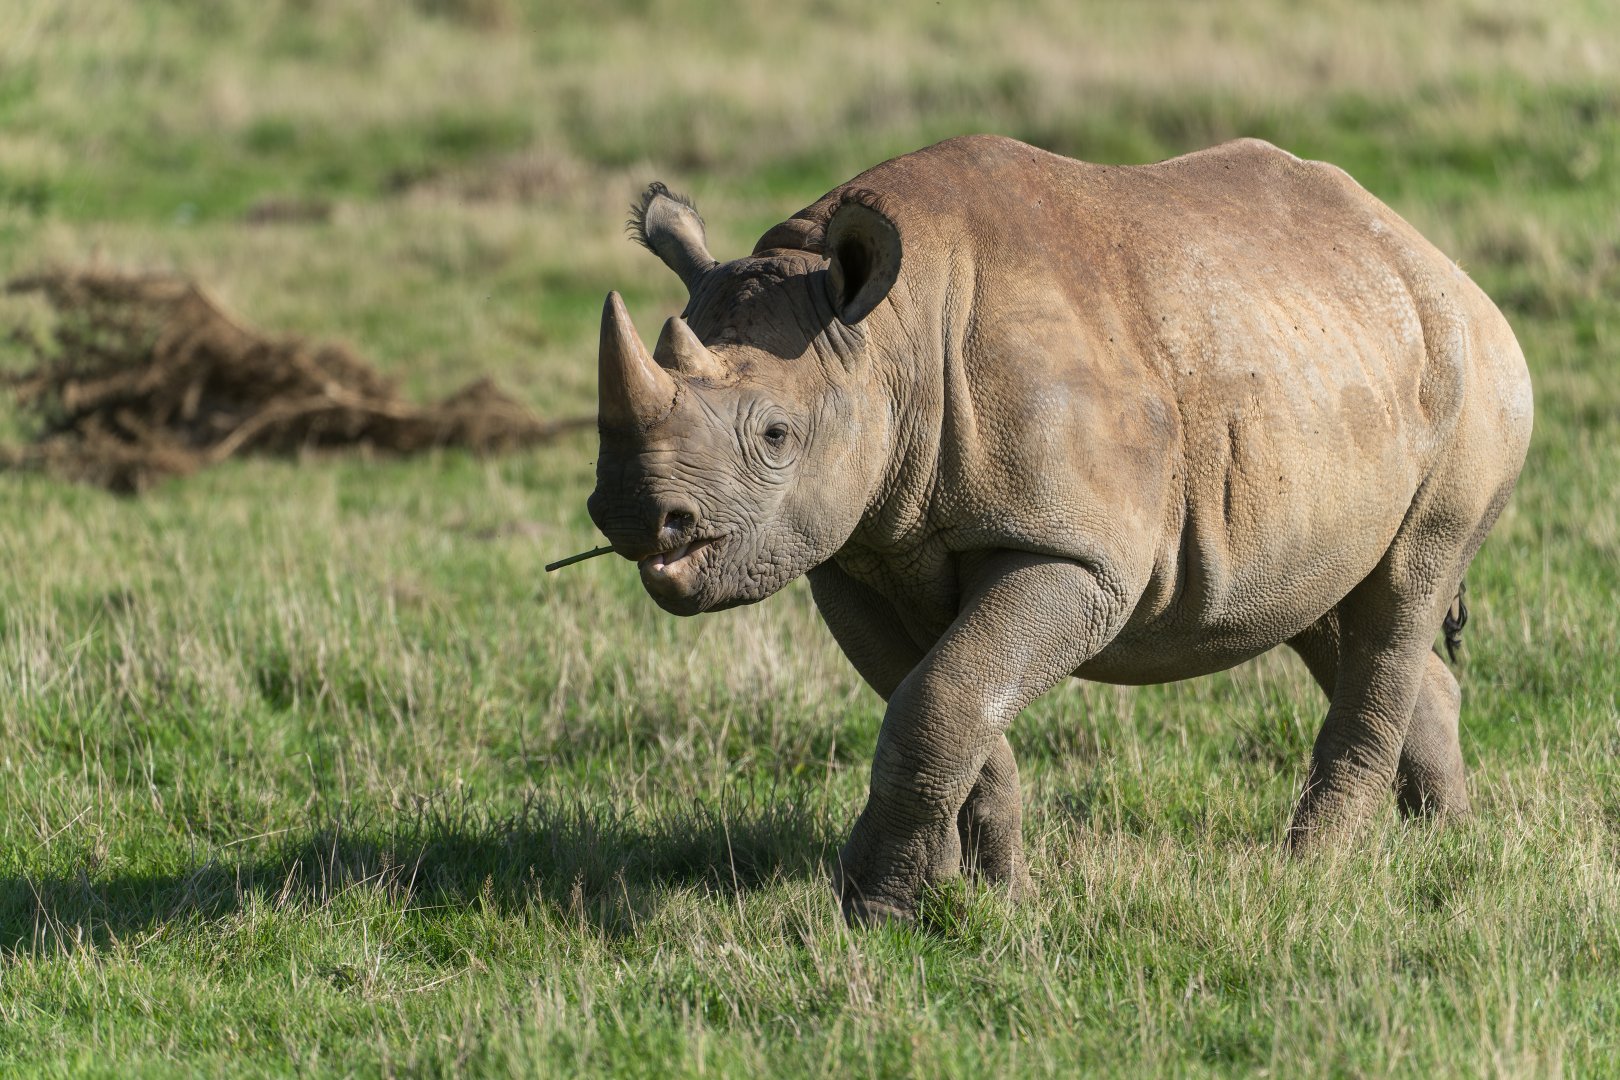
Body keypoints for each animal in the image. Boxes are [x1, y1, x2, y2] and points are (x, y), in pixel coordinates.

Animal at [585, 135, 1533, 924]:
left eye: (776, 435)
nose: (633, 513)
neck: (886, 340)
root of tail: (1431, 256)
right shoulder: (857, 551)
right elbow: (945, 701)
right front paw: (986, 891)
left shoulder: (1076, 554)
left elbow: (940, 698)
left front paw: (874, 909)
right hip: (1326, 364)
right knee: (1327, 605)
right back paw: (1443, 840)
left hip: (1474, 376)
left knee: (1405, 586)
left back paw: (1309, 870)